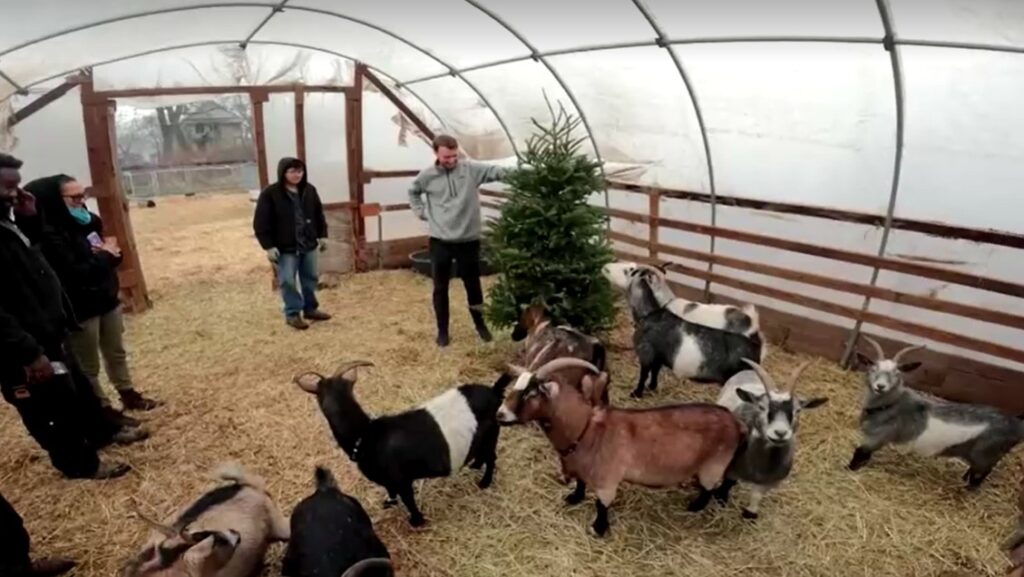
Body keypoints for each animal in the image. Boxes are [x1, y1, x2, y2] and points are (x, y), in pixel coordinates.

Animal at [296, 360, 512, 528]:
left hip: (491, 433)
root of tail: (495, 391)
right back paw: (475, 464)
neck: (366, 434)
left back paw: (484, 482)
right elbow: (390, 491)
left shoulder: (402, 480)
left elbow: (408, 500)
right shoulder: (389, 480)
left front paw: (416, 521)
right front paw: (389, 502)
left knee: (492, 457)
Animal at [495, 358, 745, 541]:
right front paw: (574, 498)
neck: (586, 429)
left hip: (714, 464)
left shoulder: (608, 480)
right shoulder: (583, 469)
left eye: (531, 393)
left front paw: (598, 529)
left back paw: (695, 506)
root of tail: (735, 422)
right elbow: (581, 483)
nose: (500, 414)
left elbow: (601, 505)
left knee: (710, 488)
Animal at [618, 266, 765, 397]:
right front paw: (652, 387)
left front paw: (636, 393)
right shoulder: (657, 356)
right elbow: (655, 372)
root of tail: (756, 346)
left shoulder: (646, 354)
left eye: (631, 271)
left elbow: (643, 375)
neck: (650, 314)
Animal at [847, 336, 1024, 489]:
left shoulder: (877, 437)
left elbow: (860, 454)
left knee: (981, 474)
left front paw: (849, 469)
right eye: (873, 369)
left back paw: (967, 489)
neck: (892, 405)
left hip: (987, 455)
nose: (880, 386)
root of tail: (1016, 426)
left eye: (897, 373)